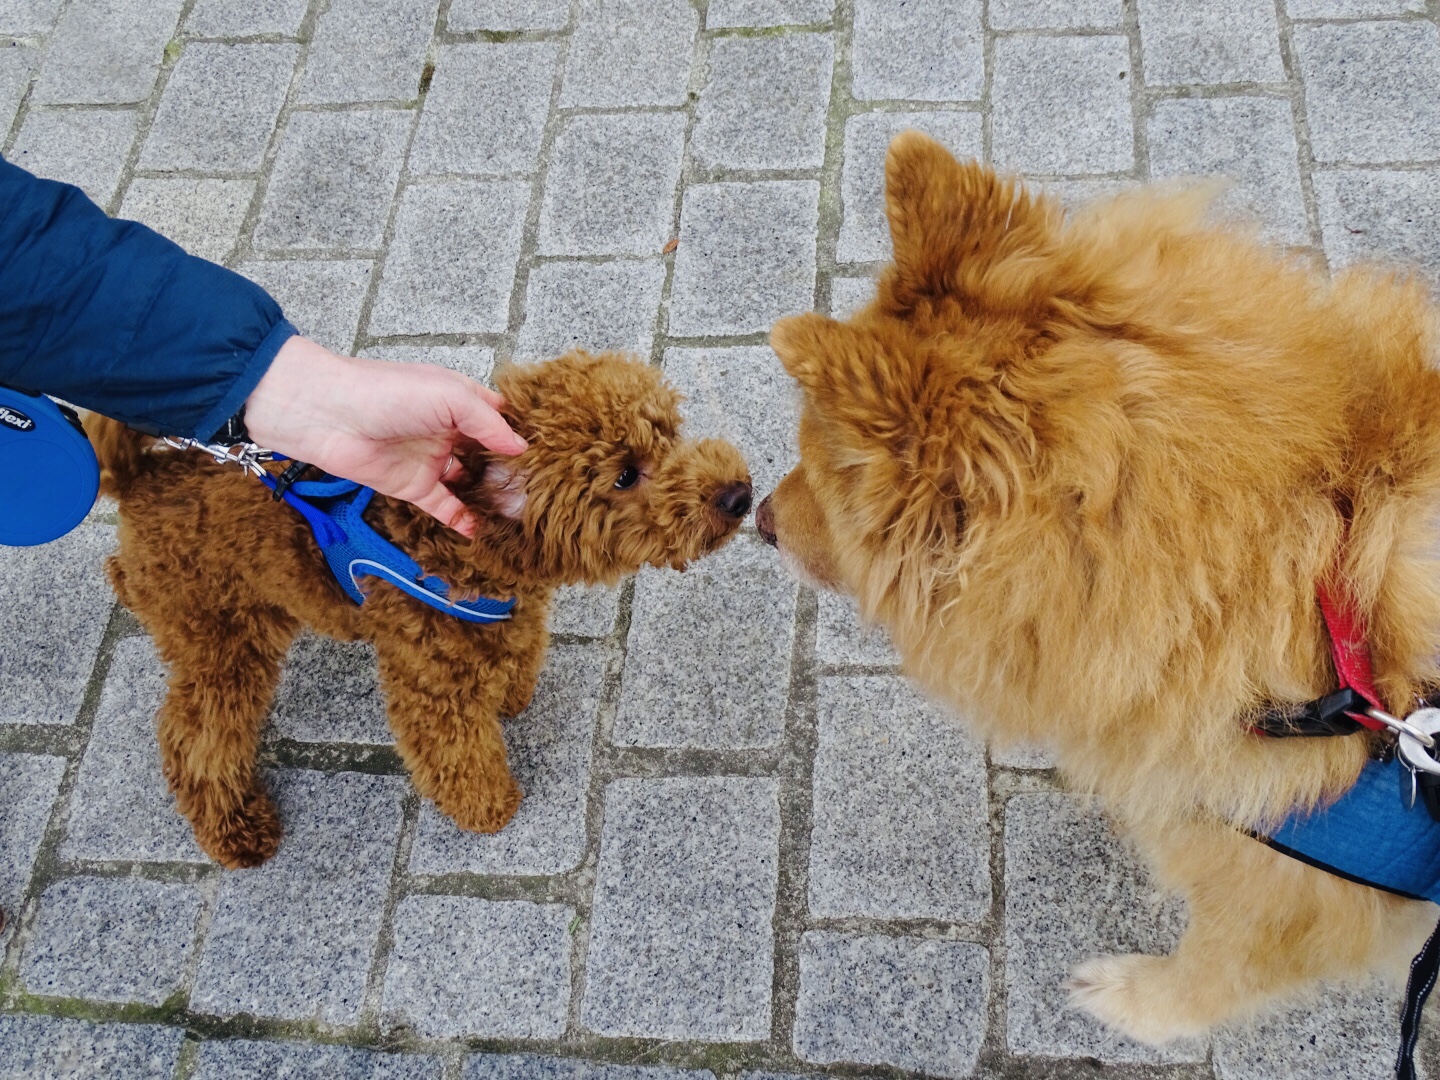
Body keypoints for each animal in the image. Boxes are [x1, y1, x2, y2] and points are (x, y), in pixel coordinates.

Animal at [88, 351, 751, 869]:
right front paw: (489, 808)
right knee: (196, 739)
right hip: (223, 639)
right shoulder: (432, 683)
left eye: (669, 432)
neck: (464, 549)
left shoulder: (508, 621)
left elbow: (515, 657)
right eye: (624, 476)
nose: (739, 495)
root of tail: (142, 475)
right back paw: (236, 832)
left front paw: (510, 695)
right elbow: (456, 752)